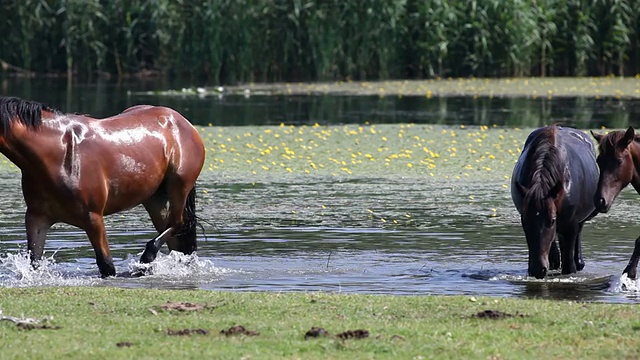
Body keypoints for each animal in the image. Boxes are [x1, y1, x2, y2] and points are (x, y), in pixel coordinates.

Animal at [0, 95, 205, 276]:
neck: (58, 154)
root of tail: (181, 121)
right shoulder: (37, 218)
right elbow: (34, 262)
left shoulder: (93, 219)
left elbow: (106, 266)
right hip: (155, 199)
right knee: (175, 237)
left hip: (178, 187)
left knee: (178, 224)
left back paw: (145, 260)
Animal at [510, 125, 600, 280]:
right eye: (525, 221)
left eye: (552, 220)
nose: (537, 269)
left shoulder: (570, 224)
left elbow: (569, 265)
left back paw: (578, 261)